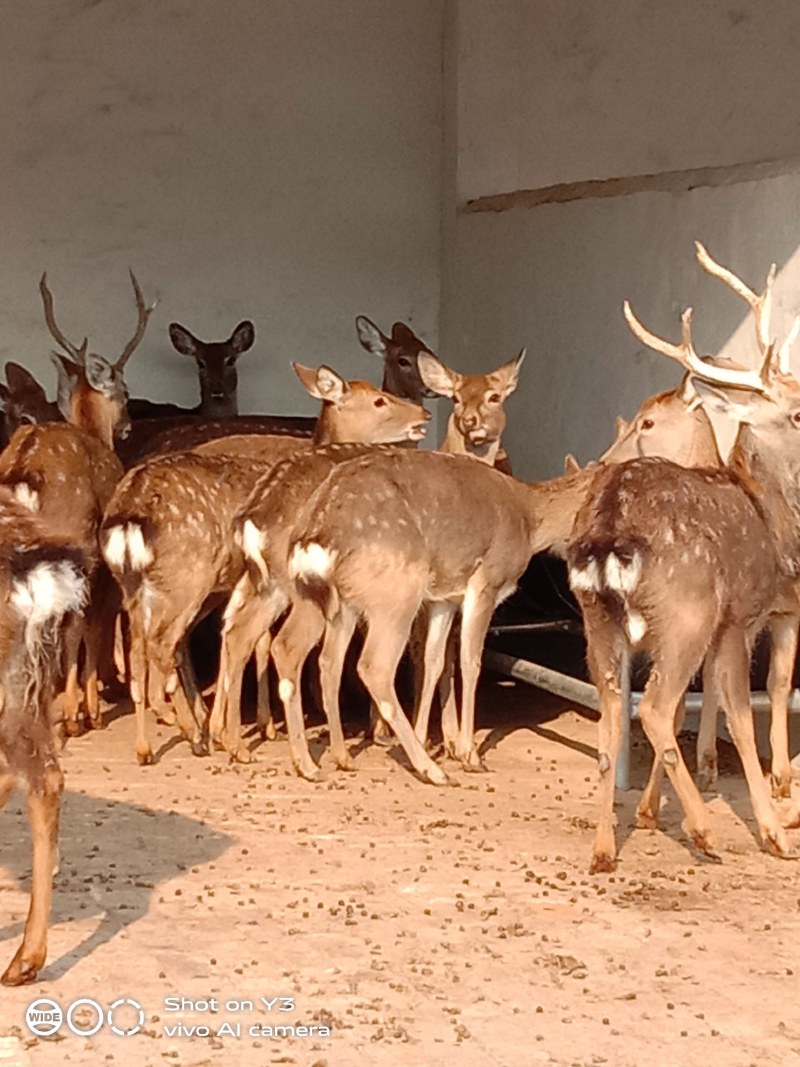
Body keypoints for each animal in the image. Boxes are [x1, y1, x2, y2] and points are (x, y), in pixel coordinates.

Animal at [101, 365, 430, 764]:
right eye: (380, 400)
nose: (423, 414)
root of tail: (127, 514)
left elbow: (249, 640)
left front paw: (246, 726)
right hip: (189, 577)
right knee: (165, 642)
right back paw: (192, 730)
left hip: (141, 584)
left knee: (144, 643)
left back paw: (153, 743)